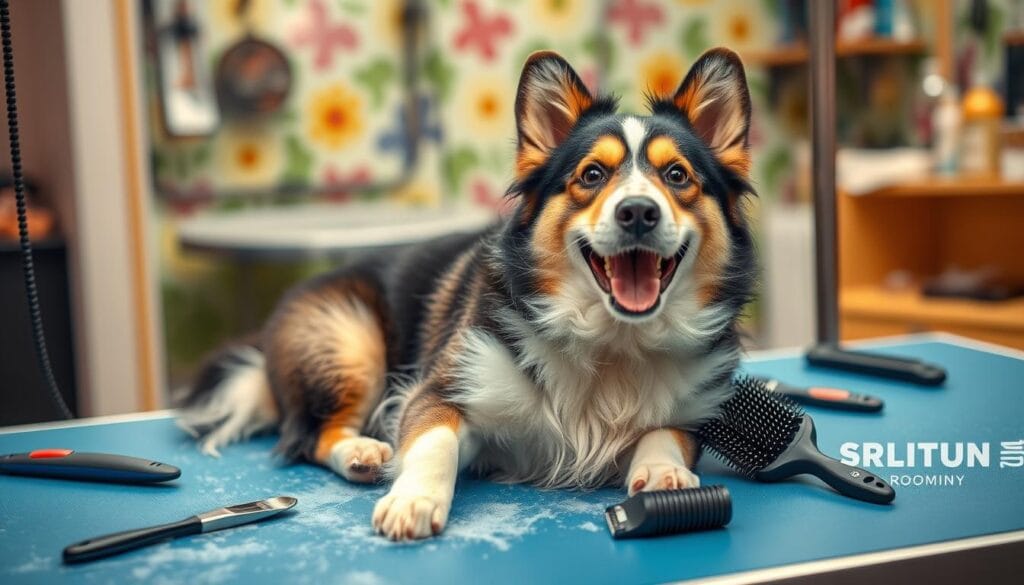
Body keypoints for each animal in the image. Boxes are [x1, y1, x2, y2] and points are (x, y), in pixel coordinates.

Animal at [176, 48, 757, 540]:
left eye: (677, 175)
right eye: (592, 174)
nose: (638, 211)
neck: (613, 340)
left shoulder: (697, 410)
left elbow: (665, 433)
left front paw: (662, 475)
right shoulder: (443, 391)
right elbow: (434, 443)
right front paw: (413, 501)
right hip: (348, 340)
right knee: (311, 436)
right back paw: (363, 451)